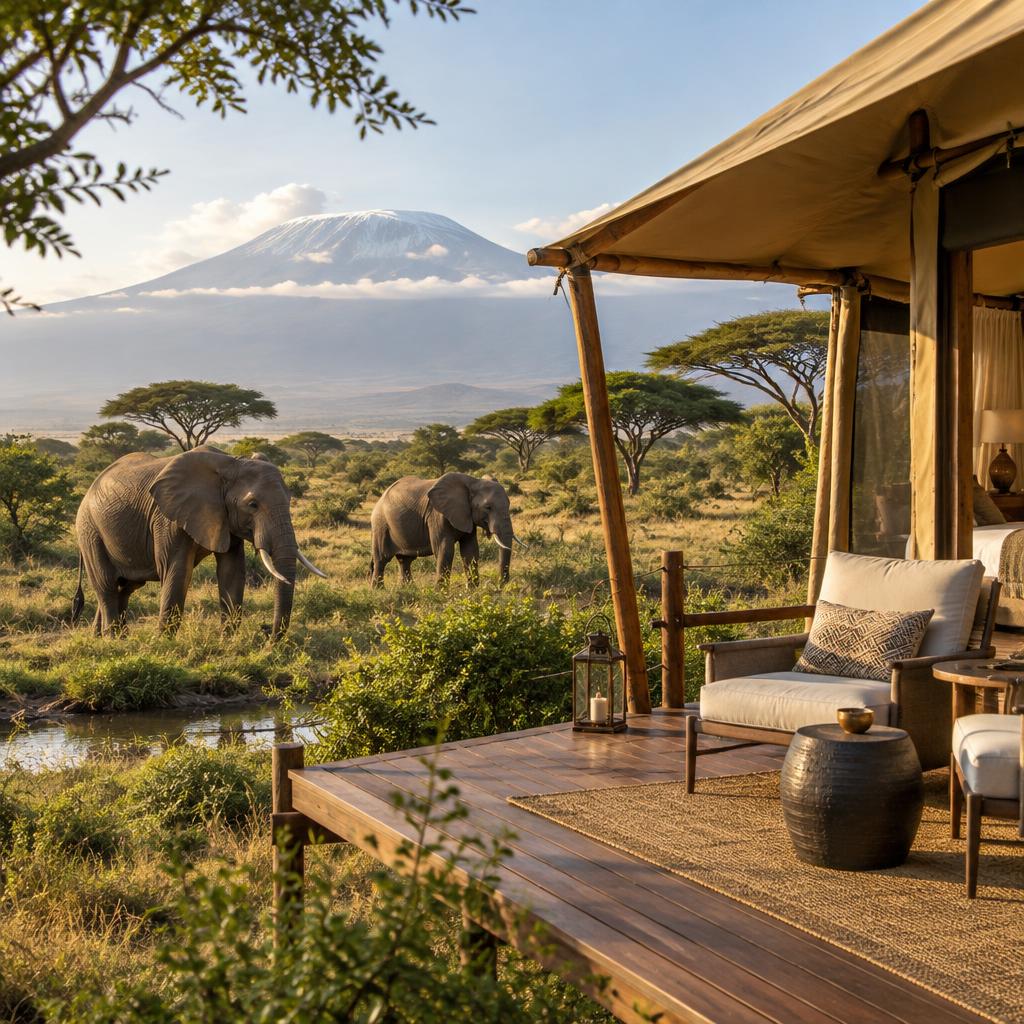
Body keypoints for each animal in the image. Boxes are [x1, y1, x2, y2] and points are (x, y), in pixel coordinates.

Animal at [73, 445, 326, 636]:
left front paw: (228, 642)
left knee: (125, 587)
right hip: (89, 530)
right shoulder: (168, 518)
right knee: (106, 585)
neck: (231, 463)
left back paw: (103, 639)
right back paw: (114, 639)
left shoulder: (225, 519)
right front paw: (163, 645)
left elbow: (232, 571)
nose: (267, 635)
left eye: (290, 499)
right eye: (253, 504)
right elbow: (177, 571)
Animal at [370, 473, 519, 585]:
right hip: (380, 525)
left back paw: (408, 590)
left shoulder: (467, 517)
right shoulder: (437, 515)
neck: (473, 482)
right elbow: (444, 550)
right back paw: (378, 591)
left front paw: (472, 591)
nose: (501, 584)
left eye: (509, 504)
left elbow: (470, 550)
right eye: (488, 507)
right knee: (381, 559)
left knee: (404, 561)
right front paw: (441, 594)